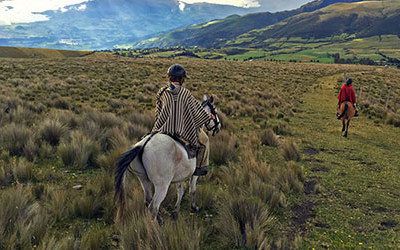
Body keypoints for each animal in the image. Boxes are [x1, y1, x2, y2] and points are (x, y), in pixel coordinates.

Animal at [115, 94, 222, 222]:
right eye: (215, 110)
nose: (219, 126)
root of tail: (144, 144)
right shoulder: (194, 173)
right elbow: (192, 189)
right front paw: (194, 207)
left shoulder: (180, 176)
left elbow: (180, 191)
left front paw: (175, 212)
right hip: (162, 185)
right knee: (153, 207)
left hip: (143, 179)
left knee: (148, 201)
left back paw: (160, 220)